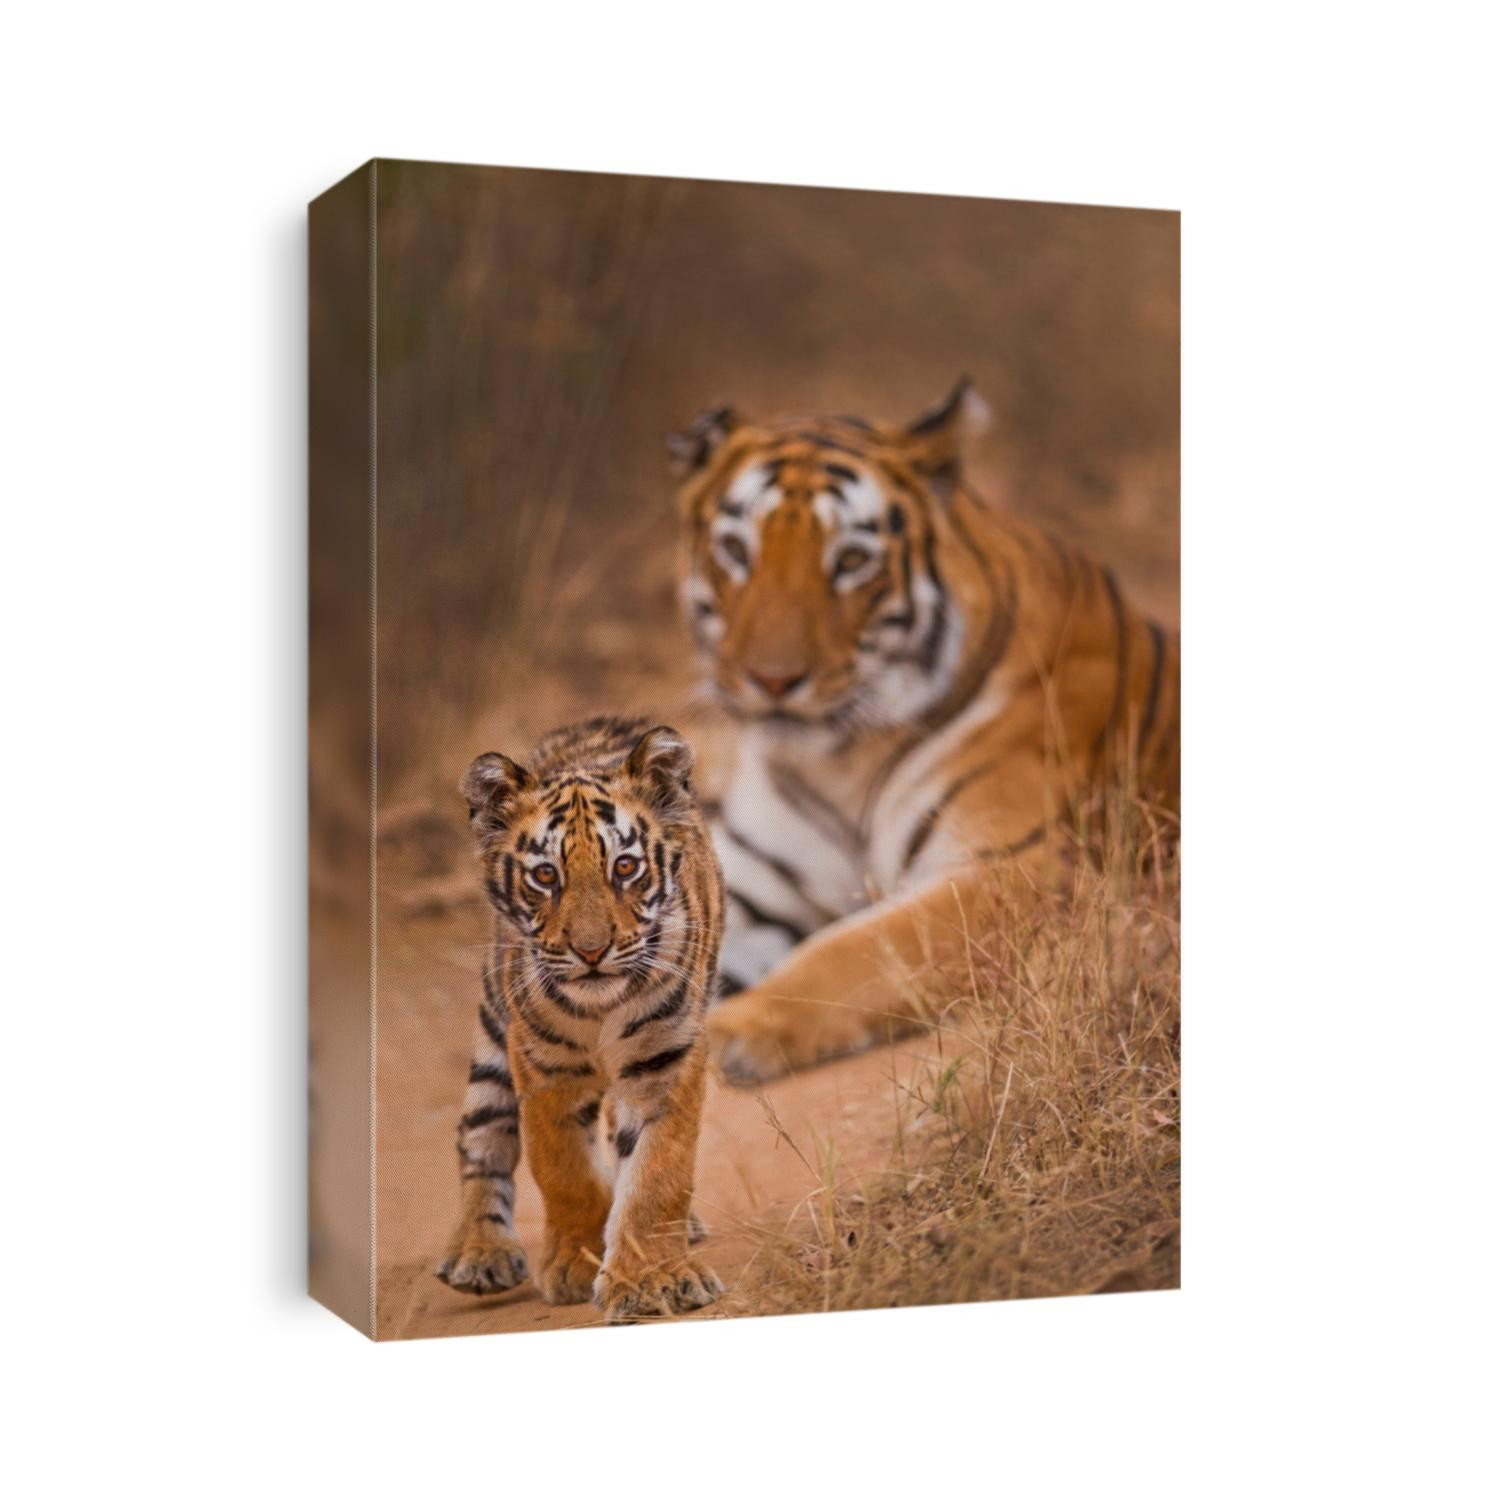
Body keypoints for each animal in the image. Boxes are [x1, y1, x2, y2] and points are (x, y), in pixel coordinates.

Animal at [435, 716, 725, 1323]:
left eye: (625, 867)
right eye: (546, 875)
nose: (591, 951)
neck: (601, 1009)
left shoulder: (667, 1059)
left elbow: (660, 1171)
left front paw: (653, 1278)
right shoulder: (545, 1067)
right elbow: (563, 1169)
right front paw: (575, 1265)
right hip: (495, 1028)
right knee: (481, 1133)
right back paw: (479, 1251)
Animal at [670, 377, 1180, 1083]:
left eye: (851, 560)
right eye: (736, 551)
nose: (772, 680)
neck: (836, 761)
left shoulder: (1013, 872)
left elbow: (859, 948)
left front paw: (733, 1030)